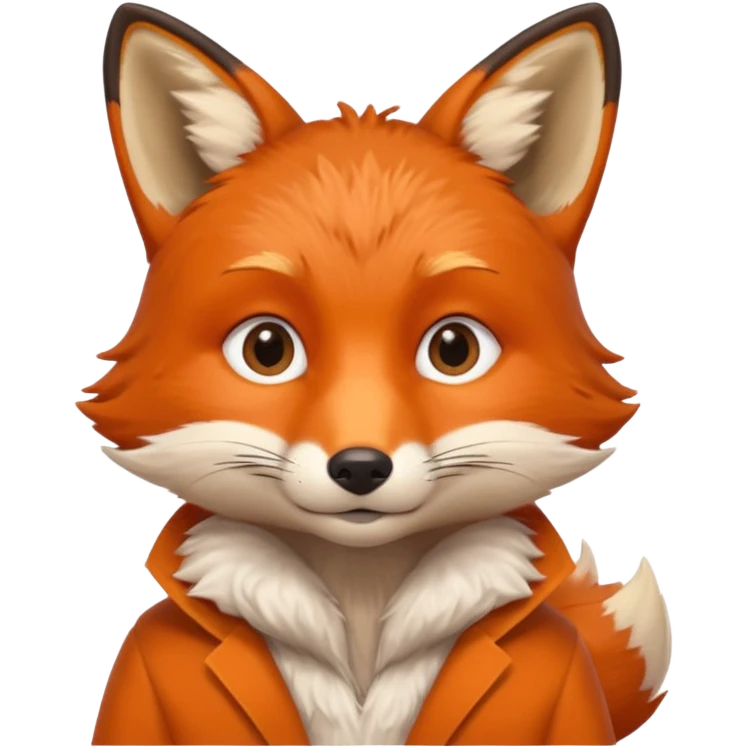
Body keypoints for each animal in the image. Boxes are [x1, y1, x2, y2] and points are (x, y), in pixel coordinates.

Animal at [83, 2, 672, 745]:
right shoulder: (142, 664)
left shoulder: (562, 672)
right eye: (267, 349)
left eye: (453, 348)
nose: (360, 467)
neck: (361, 613)